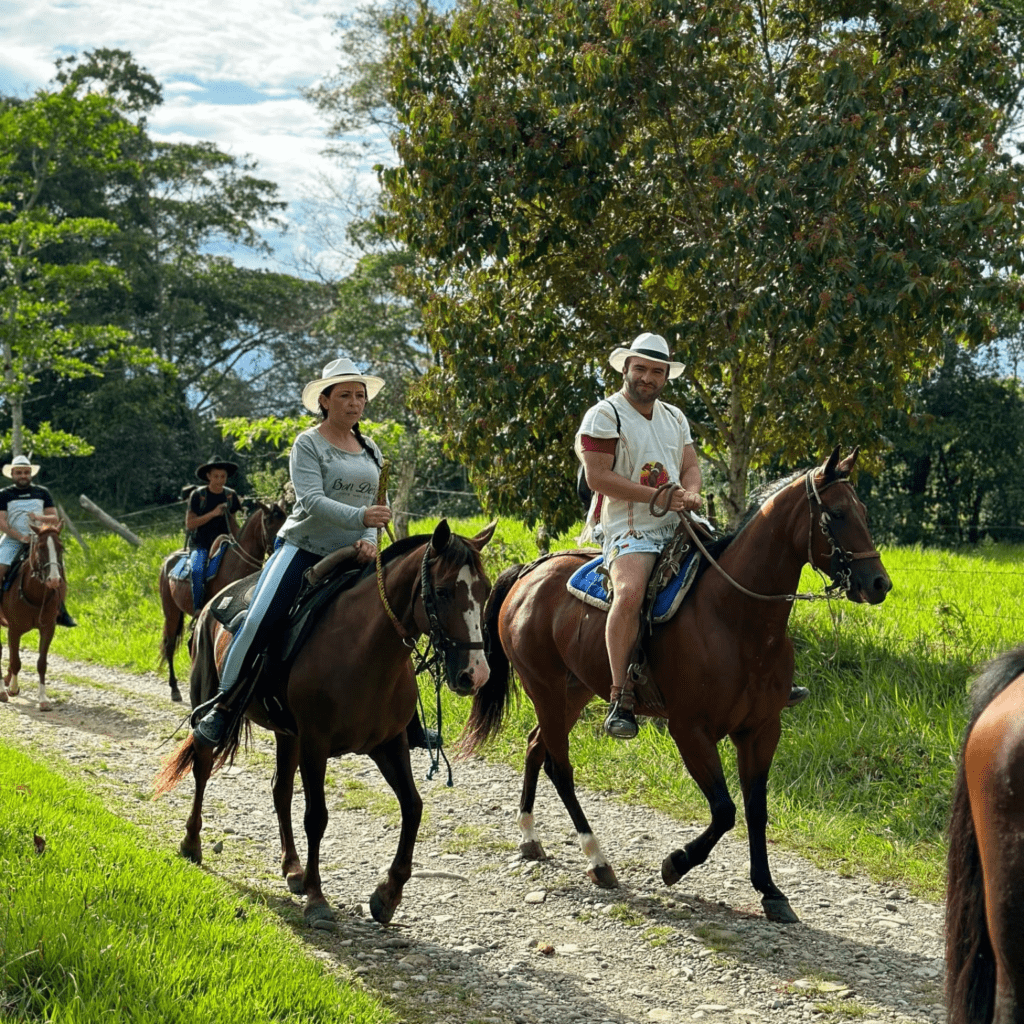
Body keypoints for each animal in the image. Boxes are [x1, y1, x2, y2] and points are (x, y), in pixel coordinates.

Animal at [0, 520, 68, 712]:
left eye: (61, 547)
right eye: (41, 547)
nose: (54, 580)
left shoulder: (48, 628)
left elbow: (41, 663)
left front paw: (43, 699)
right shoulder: (14, 630)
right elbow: (16, 661)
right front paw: (13, 689)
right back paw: (3, 690)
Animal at [155, 524, 495, 925]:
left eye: (485, 590)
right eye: (442, 592)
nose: (475, 674)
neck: (363, 649)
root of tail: (213, 604)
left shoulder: (390, 743)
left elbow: (412, 807)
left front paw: (387, 895)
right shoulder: (315, 745)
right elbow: (316, 816)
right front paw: (317, 900)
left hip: (288, 736)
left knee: (280, 790)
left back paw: (293, 868)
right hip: (210, 703)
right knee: (203, 767)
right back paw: (192, 843)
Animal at [159, 497, 288, 704]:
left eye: (286, 519)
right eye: (269, 522)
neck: (238, 563)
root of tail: (168, 561)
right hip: (171, 612)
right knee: (170, 645)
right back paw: (174, 689)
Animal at [464, 448, 888, 921]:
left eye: (863, 511)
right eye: (837, 514)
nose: (879, 583)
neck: (735, 619)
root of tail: (529, 573)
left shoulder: (761, 730)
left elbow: (756, 809)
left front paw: (770, 890)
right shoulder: (690, 730)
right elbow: (724, 811)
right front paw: (676, 863)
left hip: (573, 693)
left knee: (536, 746)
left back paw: (530, 838)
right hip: (547, 690)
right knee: (559, 766)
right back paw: (598, 860)